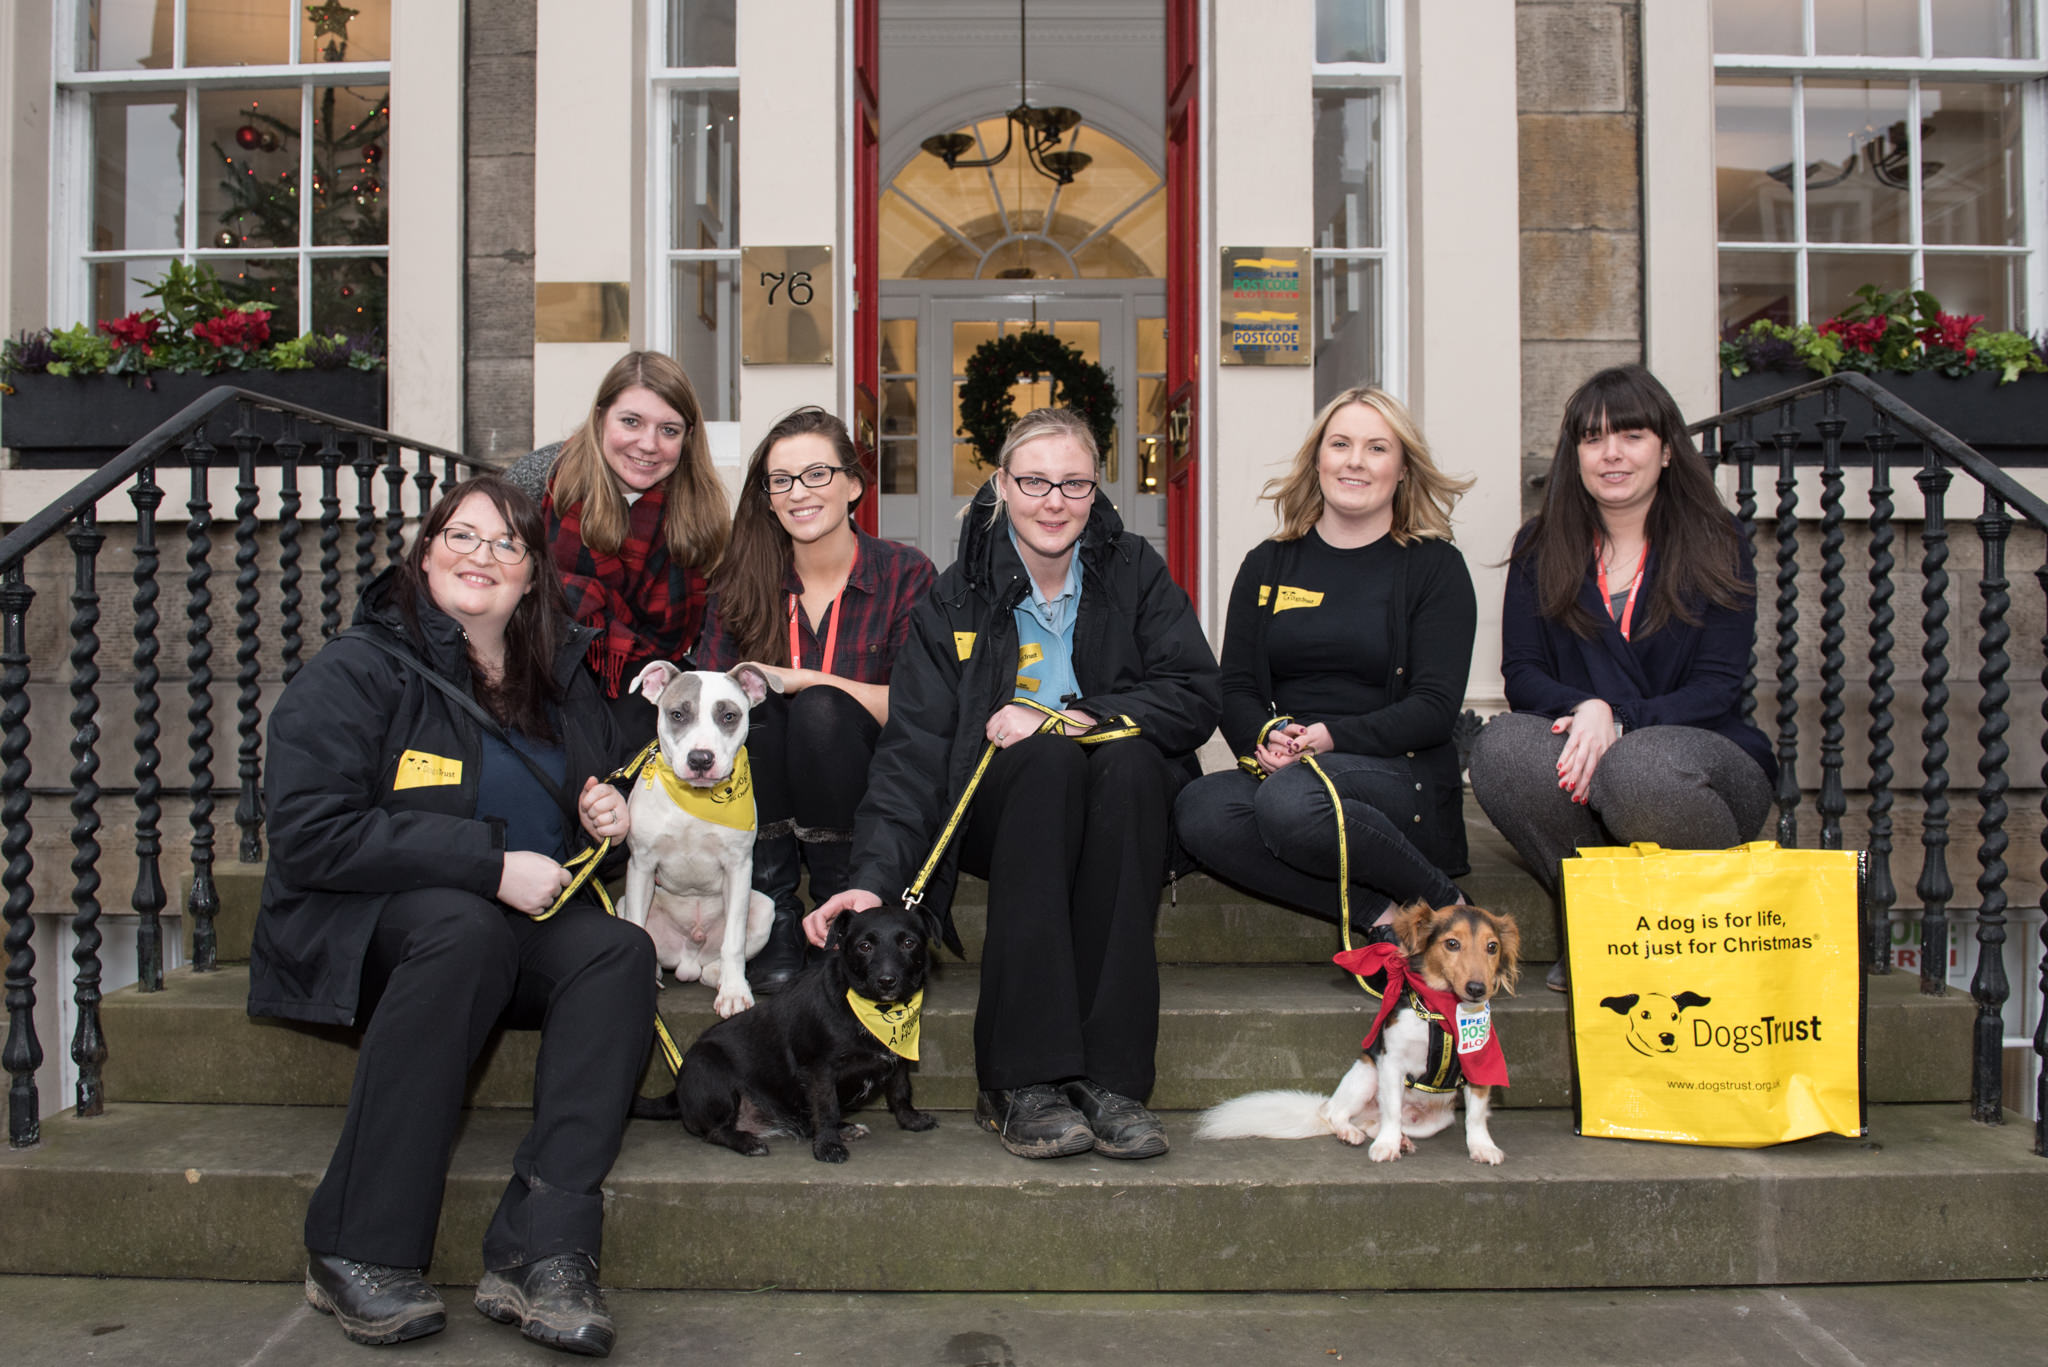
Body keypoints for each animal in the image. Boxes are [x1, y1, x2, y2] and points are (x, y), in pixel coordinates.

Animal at [614, 655, 774, 1020]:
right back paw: (658, 972)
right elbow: (638, 928)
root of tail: (690, 958)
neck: (696, 800)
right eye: (677, 714)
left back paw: (721, 976)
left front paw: (734, 993)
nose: (701, 759)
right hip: (622, 903)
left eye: (729, 716)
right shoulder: (641, 866)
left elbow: (734, 940)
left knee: (721, 957)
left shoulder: (739, 867)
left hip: (764, 908)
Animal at [626, 901, 937, 1164]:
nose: (887, 981)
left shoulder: (898, 1060)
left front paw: (910, 1121)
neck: (873, 1012)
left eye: (909, 943)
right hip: (712, 1073)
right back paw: (748, 1142)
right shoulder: (820, 1071)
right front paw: (828, 1145)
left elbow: (900, 1092)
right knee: (715, 1131)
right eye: (864, 946)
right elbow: (826, 1108)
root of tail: (677, 1092)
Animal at [1196, 909, 1515, 1164]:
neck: (1441, 1012)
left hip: (1436, 1119)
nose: (1477, 989)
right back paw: (1352, 1131)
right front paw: (1386, 1146)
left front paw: (1483, 1147)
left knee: (1374, 1123)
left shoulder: (1479, 1063)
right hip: (1365, 1074)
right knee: (1336, 1113)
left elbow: (1475, 1116)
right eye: (1452, 944)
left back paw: (1397, 1138)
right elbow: (1392, 1109)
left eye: (1492, 947)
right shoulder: (1391, 1063)